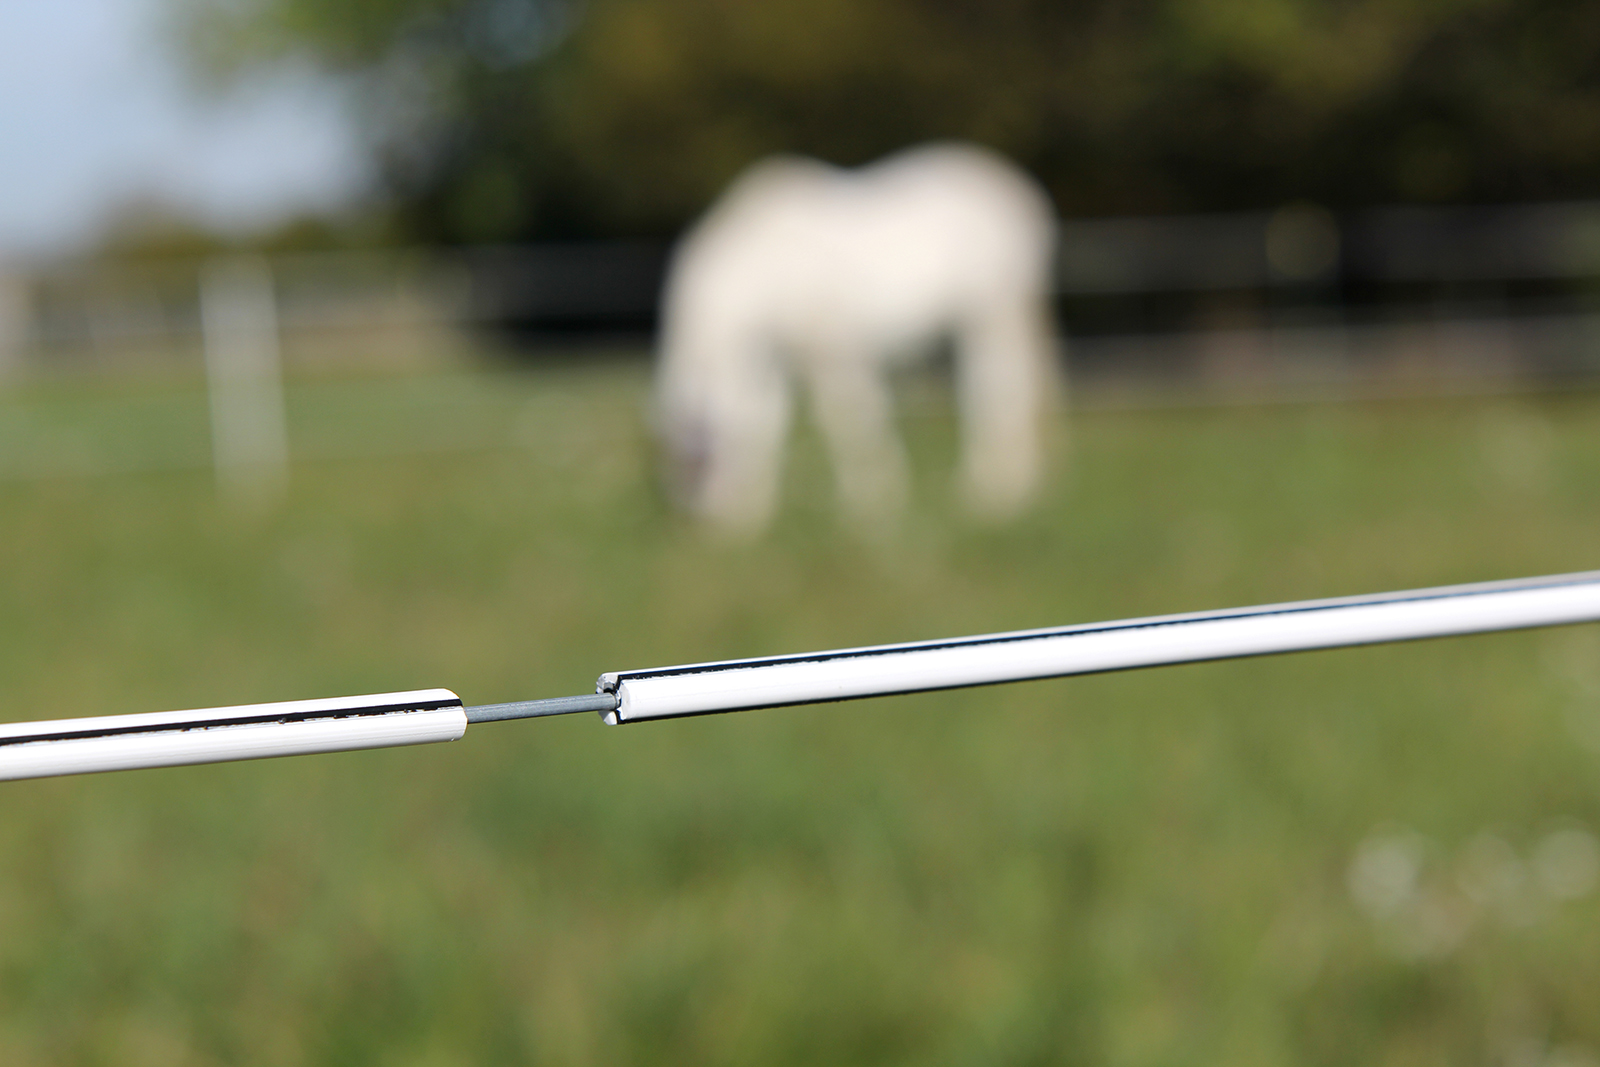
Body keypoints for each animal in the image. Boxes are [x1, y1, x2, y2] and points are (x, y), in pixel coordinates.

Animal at [654, 142, 1060, 534]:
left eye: (698, 462)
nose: (709, 522)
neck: (765, 265)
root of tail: (1018, 191)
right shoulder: (774, 359)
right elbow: (765, 420)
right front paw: (756, 513)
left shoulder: (832, 351)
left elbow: (849, 418)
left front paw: (873, 500)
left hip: (994, 314)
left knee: (1000, 388)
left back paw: (995, 492)